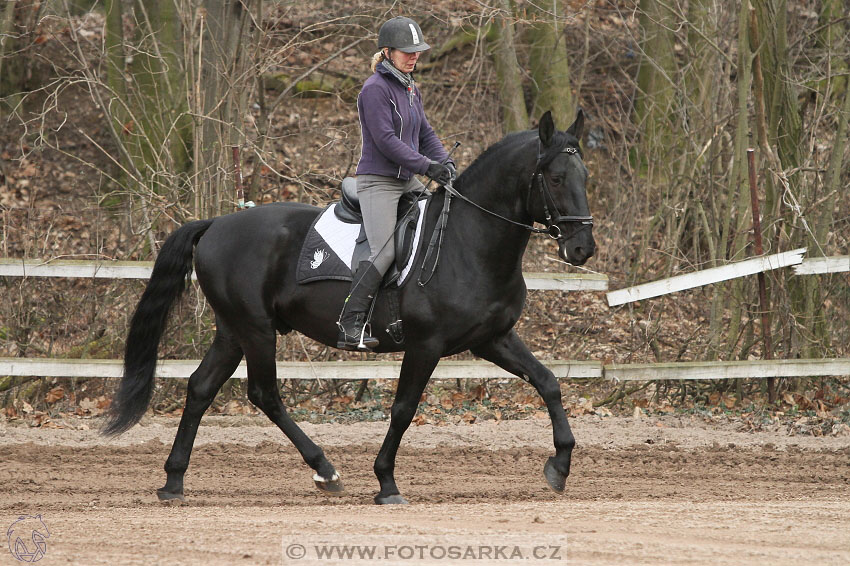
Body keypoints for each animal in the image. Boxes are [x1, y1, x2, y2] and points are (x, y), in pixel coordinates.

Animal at [102, 110, 592, 506]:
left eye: (583, 175)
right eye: (554, 178)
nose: (582, 248)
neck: (467, 241)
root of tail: (217, 223)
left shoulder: (492, 339)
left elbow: (548, 383)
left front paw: (560, 466)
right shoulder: (426, 344)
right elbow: (403, 409)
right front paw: (386, 483)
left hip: (232, 330)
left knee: (201, 388)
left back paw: (174, 481)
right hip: (255, 329)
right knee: (264, 394)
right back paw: (325, 469)